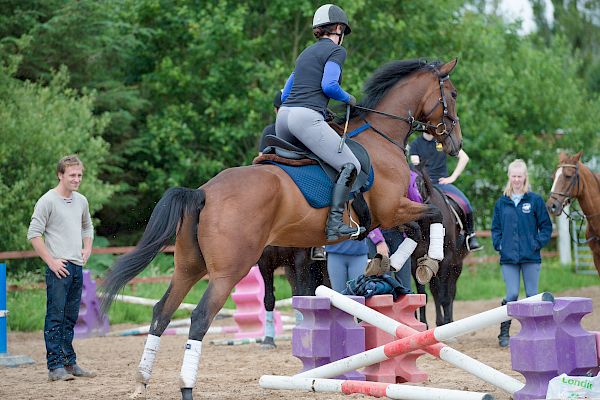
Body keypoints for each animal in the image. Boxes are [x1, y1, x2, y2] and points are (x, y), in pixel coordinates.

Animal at [412, 164, 468, 326]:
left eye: (419, 183)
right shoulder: (415, 260)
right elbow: (423, 294)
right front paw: (424, 324)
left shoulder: (446, 260)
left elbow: (445, 295)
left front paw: (447, 322)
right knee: (435, 290)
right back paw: (440, 321)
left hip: (457, 265)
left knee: (450, 291)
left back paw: (449, 321)